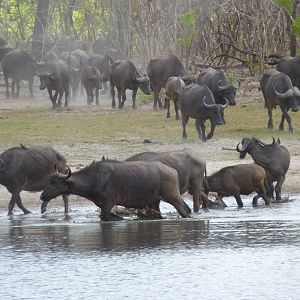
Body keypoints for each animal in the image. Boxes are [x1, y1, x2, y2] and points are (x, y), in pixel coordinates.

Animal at [39, 159, 191, 220]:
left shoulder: (108, 204)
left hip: (173, 198)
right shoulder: (103, 206)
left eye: (55, 182)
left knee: (185, 211)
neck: (94, 178)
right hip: (154, 202)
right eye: (49, 181)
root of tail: (173, 171)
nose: (42, 196)